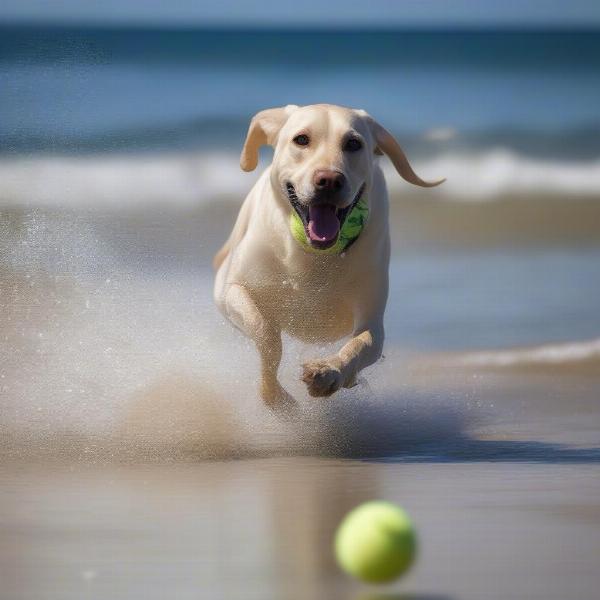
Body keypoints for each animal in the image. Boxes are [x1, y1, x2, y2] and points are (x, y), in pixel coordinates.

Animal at [213, 105, 442, 408]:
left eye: (353, 143)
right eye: (301, 139)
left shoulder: (372, 317)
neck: (313, 257)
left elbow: (362, 343)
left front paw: (328, 373)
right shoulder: (228, 290)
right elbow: (265, 330)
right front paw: (276, 397)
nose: (329, 180)